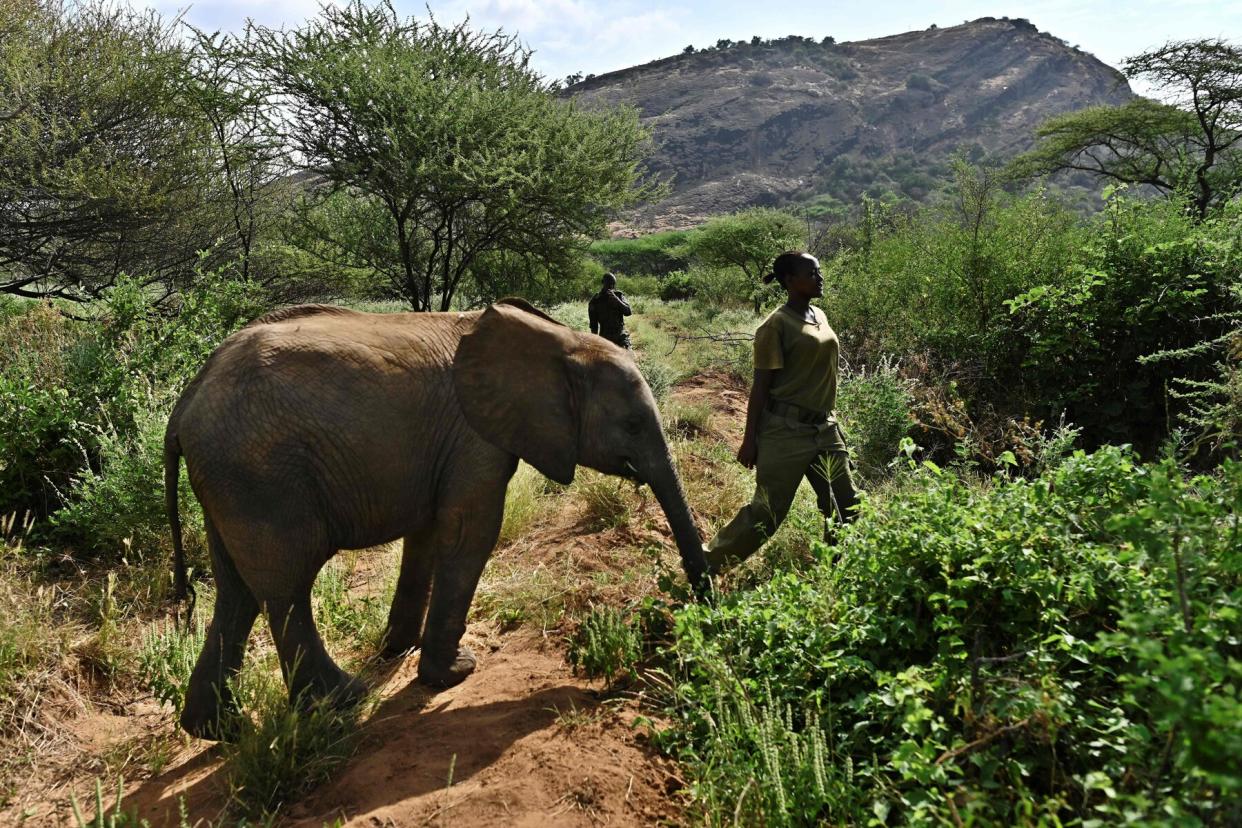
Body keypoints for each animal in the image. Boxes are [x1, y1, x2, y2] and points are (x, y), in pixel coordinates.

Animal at [165, 301, 710, 739]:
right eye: (633, 424)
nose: (696, 613)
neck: (559, 340)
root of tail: (186, 401)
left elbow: (426, 535)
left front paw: (398, 651)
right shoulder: (475, 436)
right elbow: (472, 531)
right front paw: (451, 674)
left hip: (230, 481)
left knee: (237, 592)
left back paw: (217, 730)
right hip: (260, 475)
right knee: (285, 587)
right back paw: (345, 700)